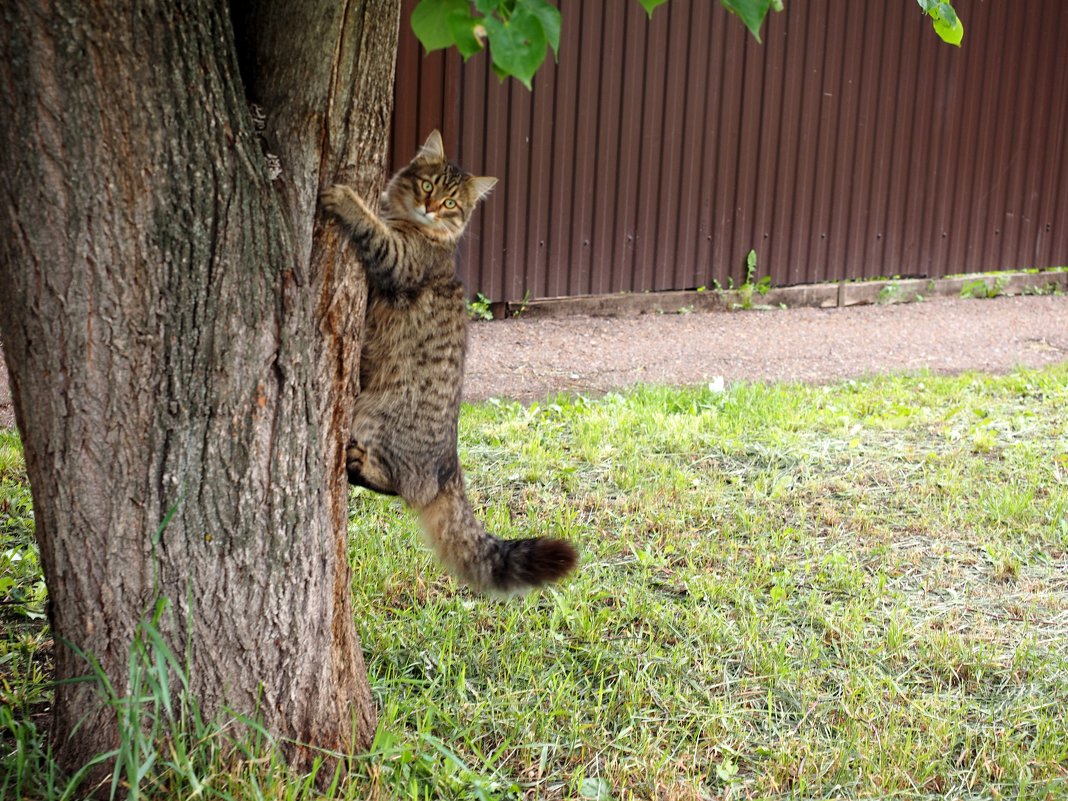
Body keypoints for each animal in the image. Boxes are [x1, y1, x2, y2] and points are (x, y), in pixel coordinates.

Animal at [320, 131, 580, 598]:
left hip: (375, 420)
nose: (430, 206)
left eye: (451, 202)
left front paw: (347, 199)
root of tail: (451, 466)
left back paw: (357, 463)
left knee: (402, 488)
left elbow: (371, 228)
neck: (411, 224)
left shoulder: (400, 259)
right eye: (427, 186)